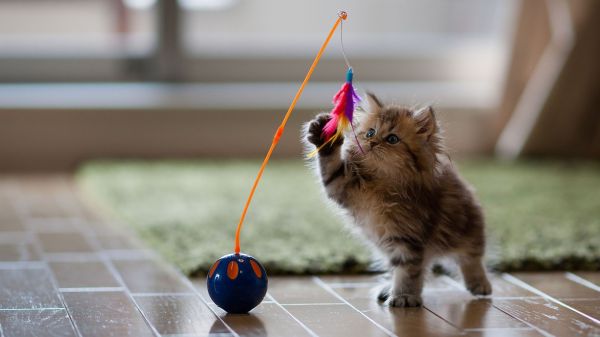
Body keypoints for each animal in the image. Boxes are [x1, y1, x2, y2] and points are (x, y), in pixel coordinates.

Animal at [304, 93, 492, 306]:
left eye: (392, 139)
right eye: (370, 133)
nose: (372, 143)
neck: (381, 183)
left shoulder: (408, 235)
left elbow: (408, 269)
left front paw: (404, 296)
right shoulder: (341, 185)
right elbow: (330, 165)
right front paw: (323, 135)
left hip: (468, 227)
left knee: (471, 257)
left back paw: (479, 284)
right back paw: (388, 288)